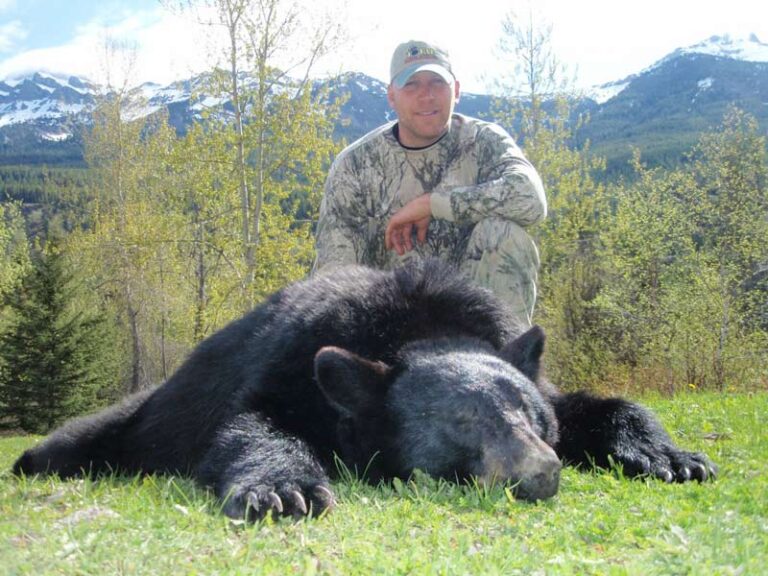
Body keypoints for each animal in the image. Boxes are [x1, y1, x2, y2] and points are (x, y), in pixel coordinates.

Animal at [12, 264, 716, 520]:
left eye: (531, 415)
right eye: (462, 421)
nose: (540, 470)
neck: (413, 324)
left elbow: (598, 406)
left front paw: (670, 455)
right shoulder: (287, 368)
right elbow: (249, 426)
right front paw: (283, 488)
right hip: (140, 418)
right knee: (75, 441)